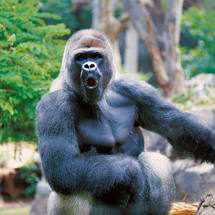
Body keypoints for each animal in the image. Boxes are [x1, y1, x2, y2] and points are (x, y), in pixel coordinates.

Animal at [37, 29, 215, 215]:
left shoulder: (136, 89)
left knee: (156, 163)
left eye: (96, 56)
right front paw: (131, 171)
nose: (89, 66)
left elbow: (177, 126)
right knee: (71, 186)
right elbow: (62, 166)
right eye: (81, 58)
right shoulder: (55, 103)